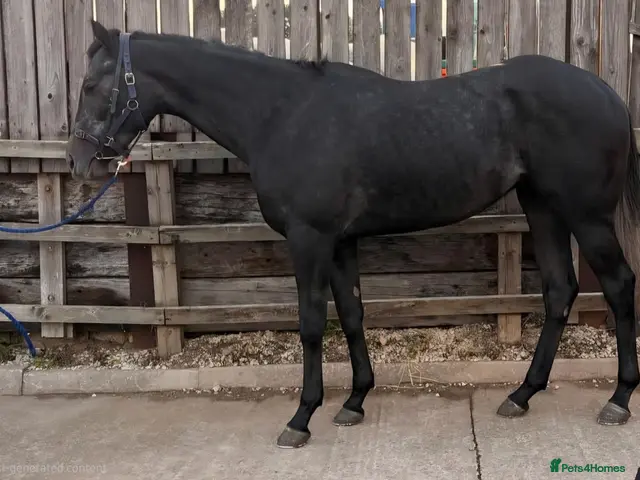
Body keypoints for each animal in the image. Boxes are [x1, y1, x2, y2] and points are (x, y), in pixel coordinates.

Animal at [66, 19, 640, 449]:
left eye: (92, 86)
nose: (79, 163)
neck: (282, 115)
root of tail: (607, 93)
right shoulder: (340, 242)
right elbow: (352, 314)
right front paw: (355, 401)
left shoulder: (309, 239)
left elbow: (311, 324)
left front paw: (301, 418)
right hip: (542, 207)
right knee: (560, 290)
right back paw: (522, 394)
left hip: (586, 216)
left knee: (618, 285)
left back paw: (617, 400)